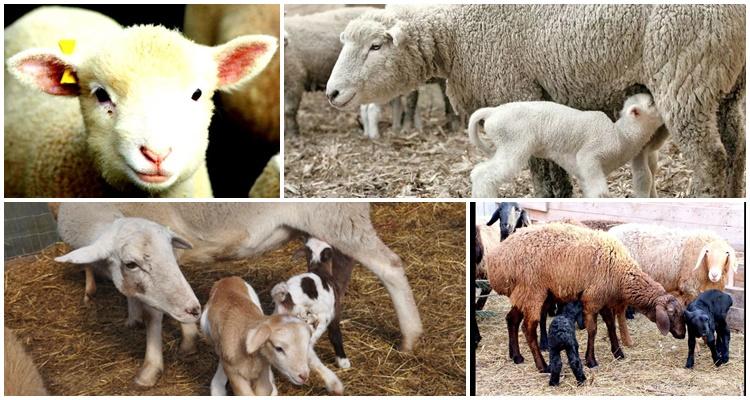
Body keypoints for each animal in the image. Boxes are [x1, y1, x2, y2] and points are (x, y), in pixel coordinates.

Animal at [59, 202, 423, 354]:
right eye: (131, 263)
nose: (195, 309)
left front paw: (188, 339)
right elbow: (132, 293)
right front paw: (133, 317)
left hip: (337, 215)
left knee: (390, 265)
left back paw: (409, 337)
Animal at [469, 93, 663, 198]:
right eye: (652, 103)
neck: (621, 136)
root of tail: (493, 112)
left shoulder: (583, 173)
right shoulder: (589, 156)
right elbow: (599, 191)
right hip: (513, 143)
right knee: (482, 174)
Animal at [486, 222, 686, 372]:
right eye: (672, 314)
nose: (683, 334)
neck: (621, 273)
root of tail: (496, 261)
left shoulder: (604, 299)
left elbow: (611, 325)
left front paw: (618, 353)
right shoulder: (592, 299)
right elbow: (593, 329)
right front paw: (591, 360)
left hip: (523, 293)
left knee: (511, 319)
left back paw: (516, 356)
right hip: (532, 292)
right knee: (528, 329)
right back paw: (543, 366)